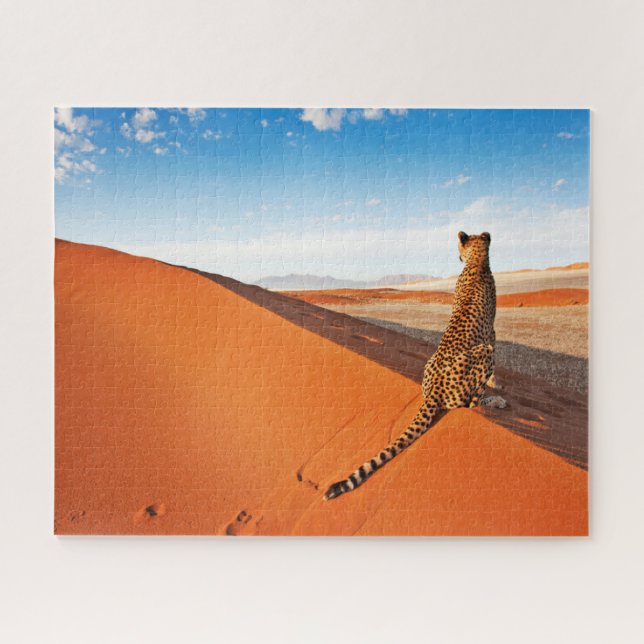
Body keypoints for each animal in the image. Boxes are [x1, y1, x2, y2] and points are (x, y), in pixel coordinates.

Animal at [324, 231, 507, 501]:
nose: (457, 257)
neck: (477, 262)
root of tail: (434, 390)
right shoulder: (491, 336)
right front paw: (497, 387)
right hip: (484, 353)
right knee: (470, 404)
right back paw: (495, 402)